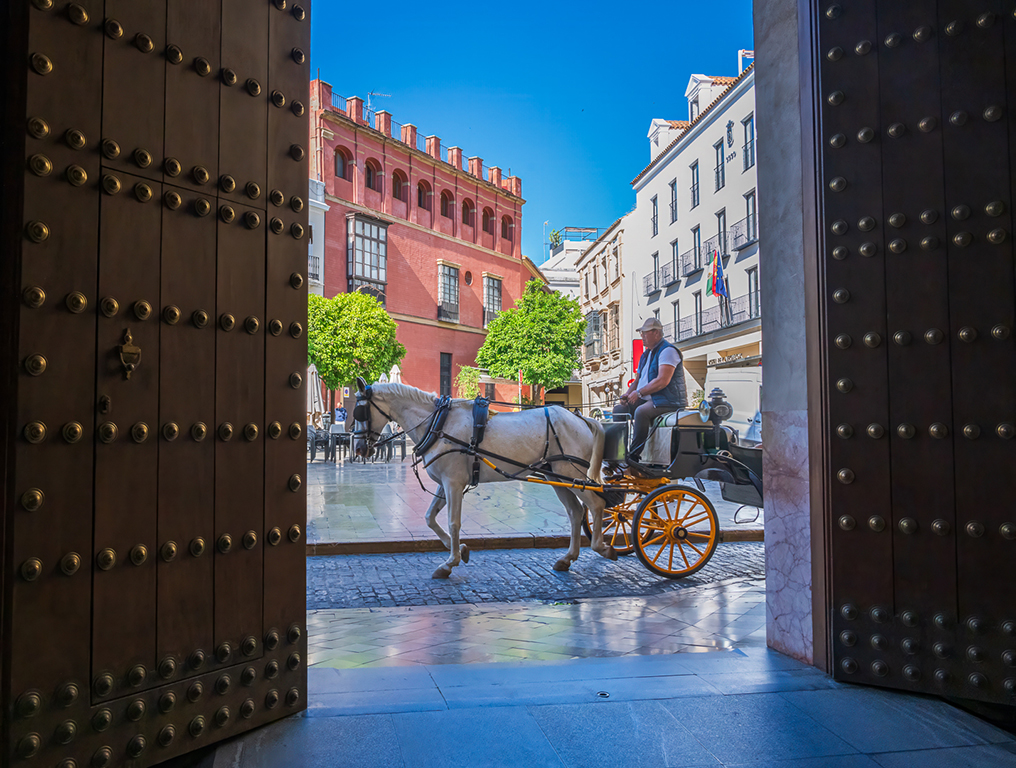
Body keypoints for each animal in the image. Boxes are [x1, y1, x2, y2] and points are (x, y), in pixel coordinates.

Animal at [353, 377, 613, 577]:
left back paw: (602, 546)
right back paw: (568, 558)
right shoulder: (444, 484)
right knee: (576, 512)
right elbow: (429, 518)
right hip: (558, 477)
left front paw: (451, 561)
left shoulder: (453, 484)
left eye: (360, 411)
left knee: (597, 504)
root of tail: (582, 419)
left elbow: (453, 522)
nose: (357, 448)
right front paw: (460, 549)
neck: (439, 423)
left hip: (570, 474)